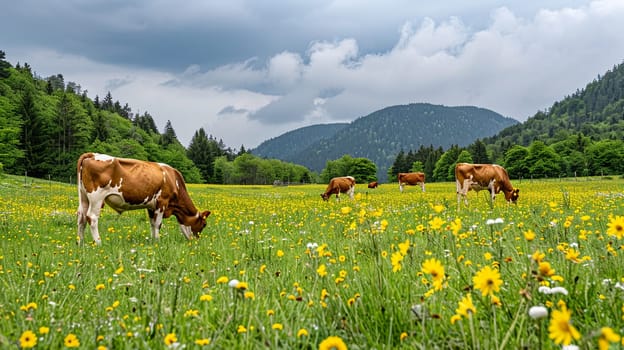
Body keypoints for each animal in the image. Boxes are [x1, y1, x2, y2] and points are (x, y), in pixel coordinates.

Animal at [76, 152, 211, 245]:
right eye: (204, 224)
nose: (196, 241)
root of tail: (92, 155)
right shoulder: (162, 202)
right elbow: (158, 224)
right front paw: (158, 241)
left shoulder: (151, 206)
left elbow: (152, 223)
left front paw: (153, 240)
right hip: (96, 198)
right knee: (92, 217)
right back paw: (99, 243)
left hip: (83, 197)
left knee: (81, 218)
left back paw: (80, 243)